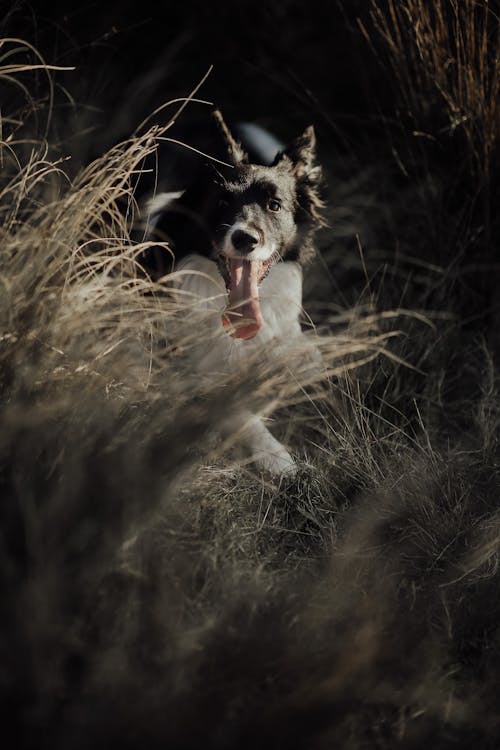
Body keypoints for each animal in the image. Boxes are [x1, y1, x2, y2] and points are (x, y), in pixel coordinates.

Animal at [143, 111, 326, 476]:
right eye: (222, 201)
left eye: (274, 205)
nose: (245, 239)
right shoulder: (185, 373)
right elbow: (238, 412)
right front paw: (277, 458)